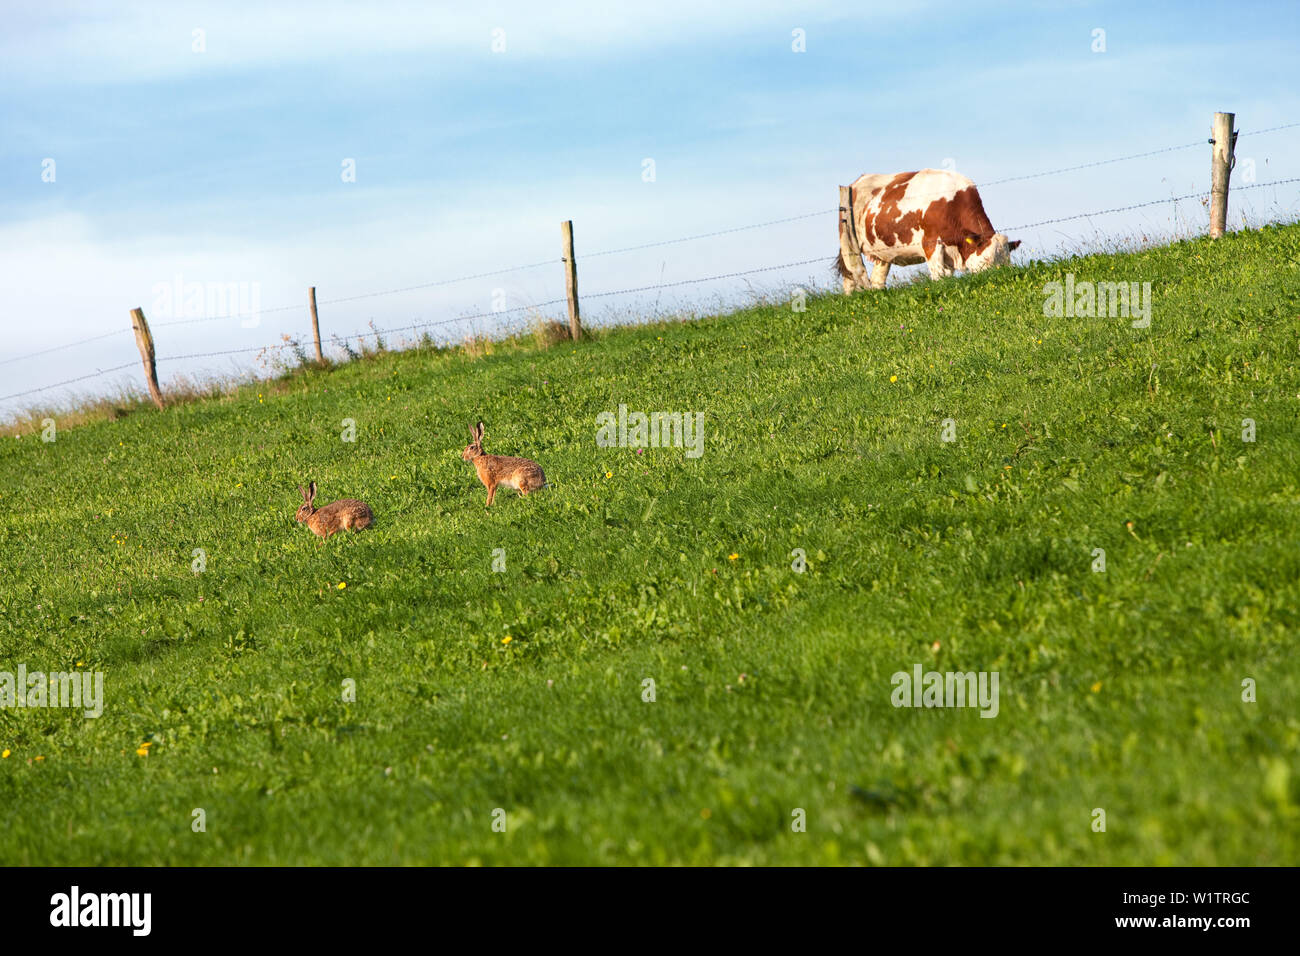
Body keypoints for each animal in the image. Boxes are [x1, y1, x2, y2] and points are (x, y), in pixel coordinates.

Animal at [837, 167, 1019, 293]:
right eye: (987, 259)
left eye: (1007, 261)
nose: (998, 278)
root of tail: (856, 182)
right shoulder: (931, 245)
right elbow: (938, 277)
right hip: (848, 246)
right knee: (850, 278)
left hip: (883, 252)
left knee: (877, 280)